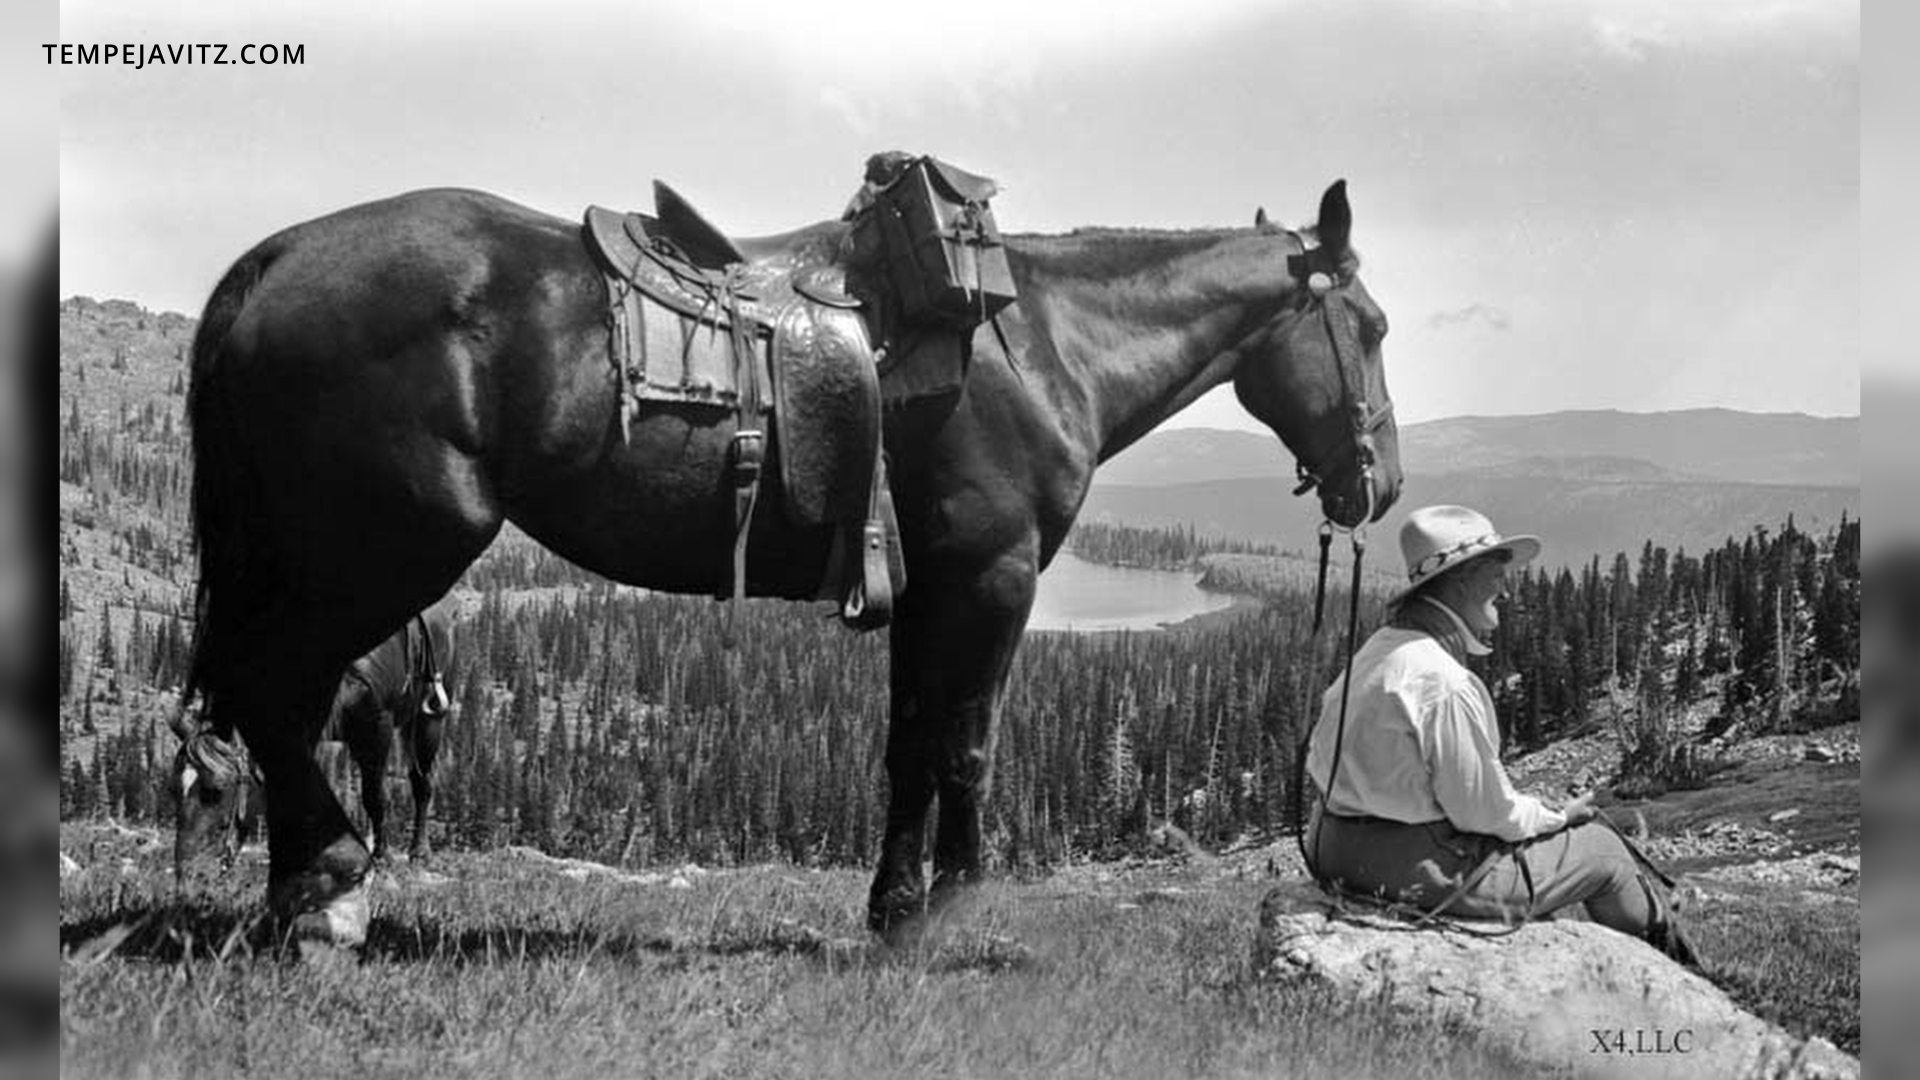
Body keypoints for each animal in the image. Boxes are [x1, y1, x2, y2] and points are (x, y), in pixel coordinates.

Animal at [173, 597, 455, 881]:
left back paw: (419, 852)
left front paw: (382, 857)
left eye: (216, 791)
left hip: (428, 720)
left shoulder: (378, 727)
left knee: (421, 783)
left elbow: (375, 796)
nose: (188, 872)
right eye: (175, 789)